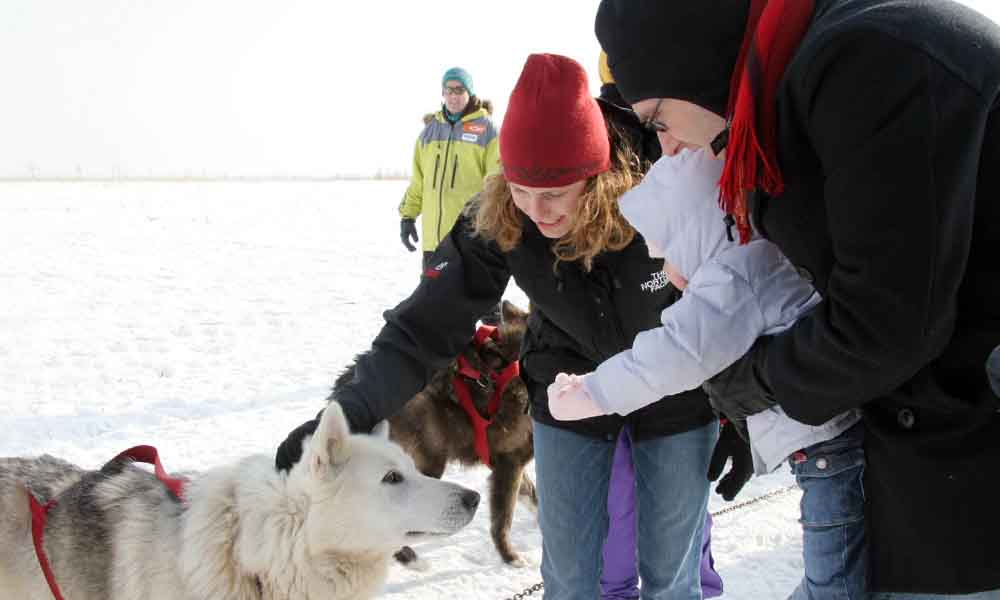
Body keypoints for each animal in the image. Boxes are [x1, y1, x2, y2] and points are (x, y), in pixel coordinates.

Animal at [330, 300, 536, 568]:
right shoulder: (510, 462)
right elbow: (503, 521)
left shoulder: (509, 461)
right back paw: (409, 557)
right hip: (427, 461)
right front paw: (510, 557)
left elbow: (533, 497)